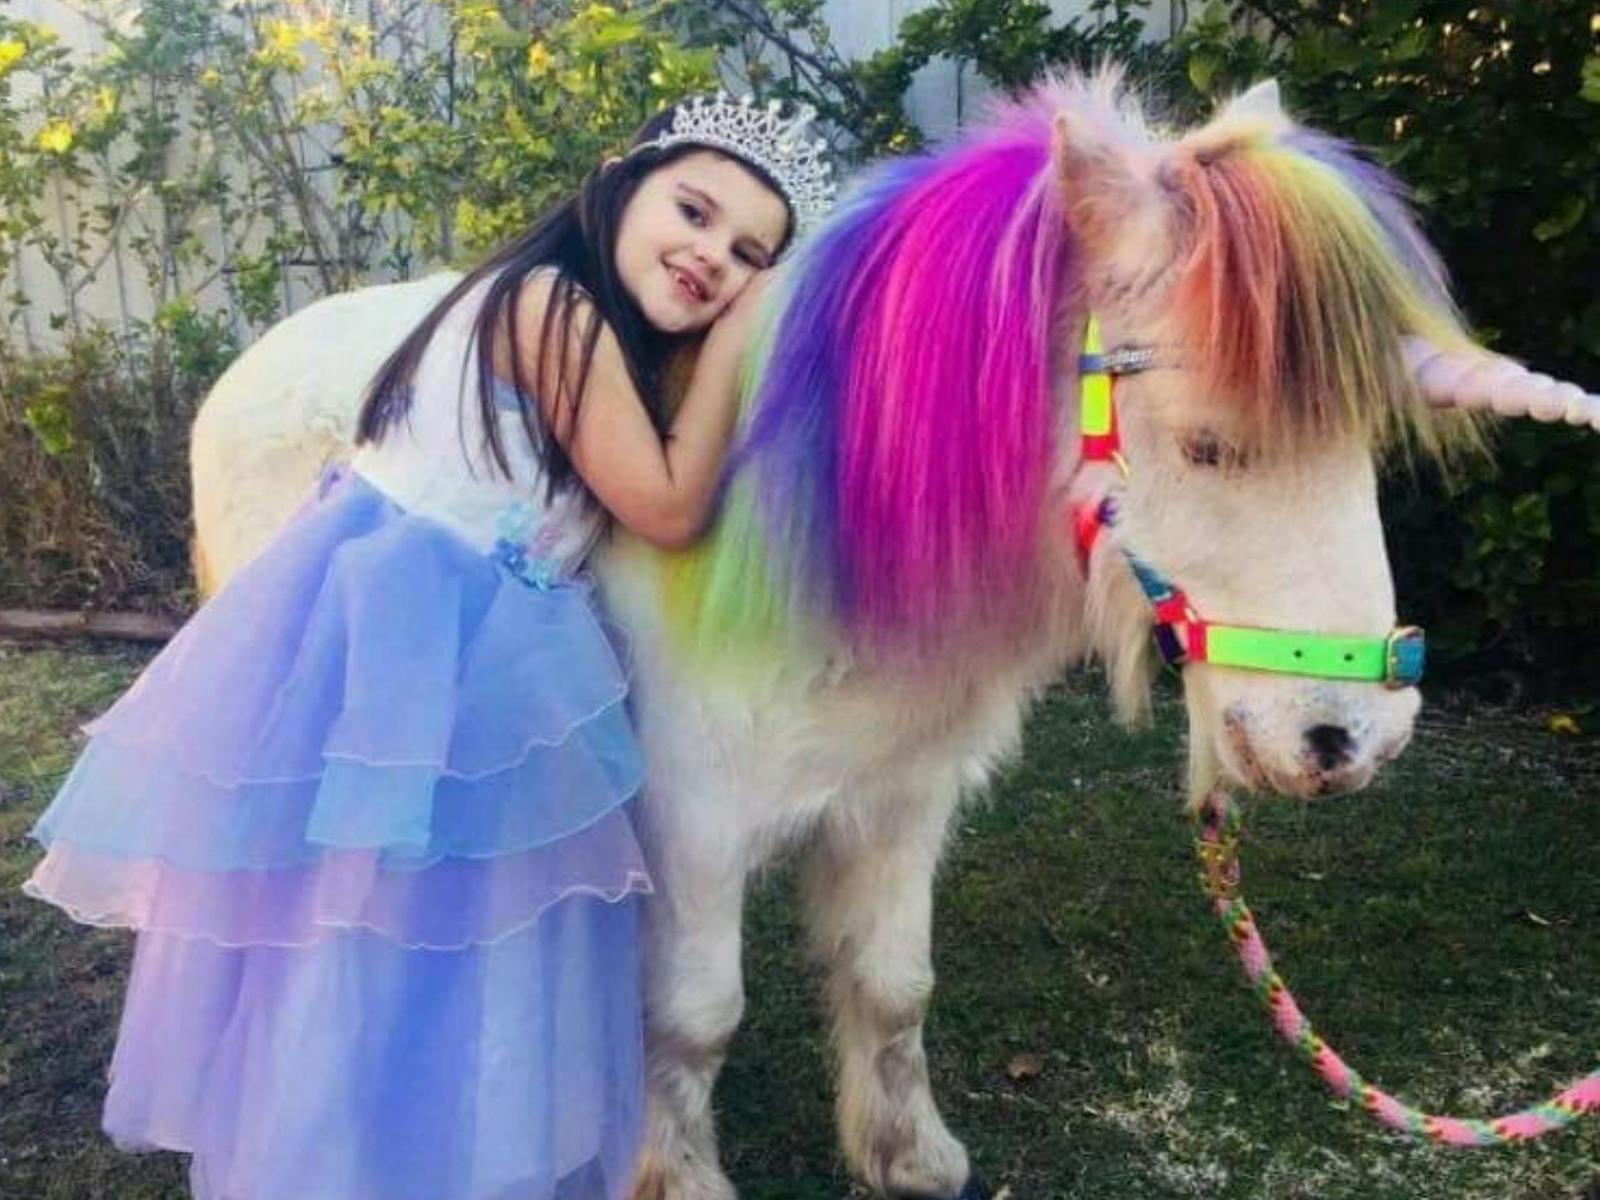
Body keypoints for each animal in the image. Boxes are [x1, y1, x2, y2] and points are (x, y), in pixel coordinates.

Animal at [193, 77, 1593, 1200]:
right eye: (1204, 443)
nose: (1351, 735)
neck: (812, 534)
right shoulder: (690, 820)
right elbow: (694, 1016)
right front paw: (676, 1178)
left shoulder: (899, 801)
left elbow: (889, 987)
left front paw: (907, 1157)